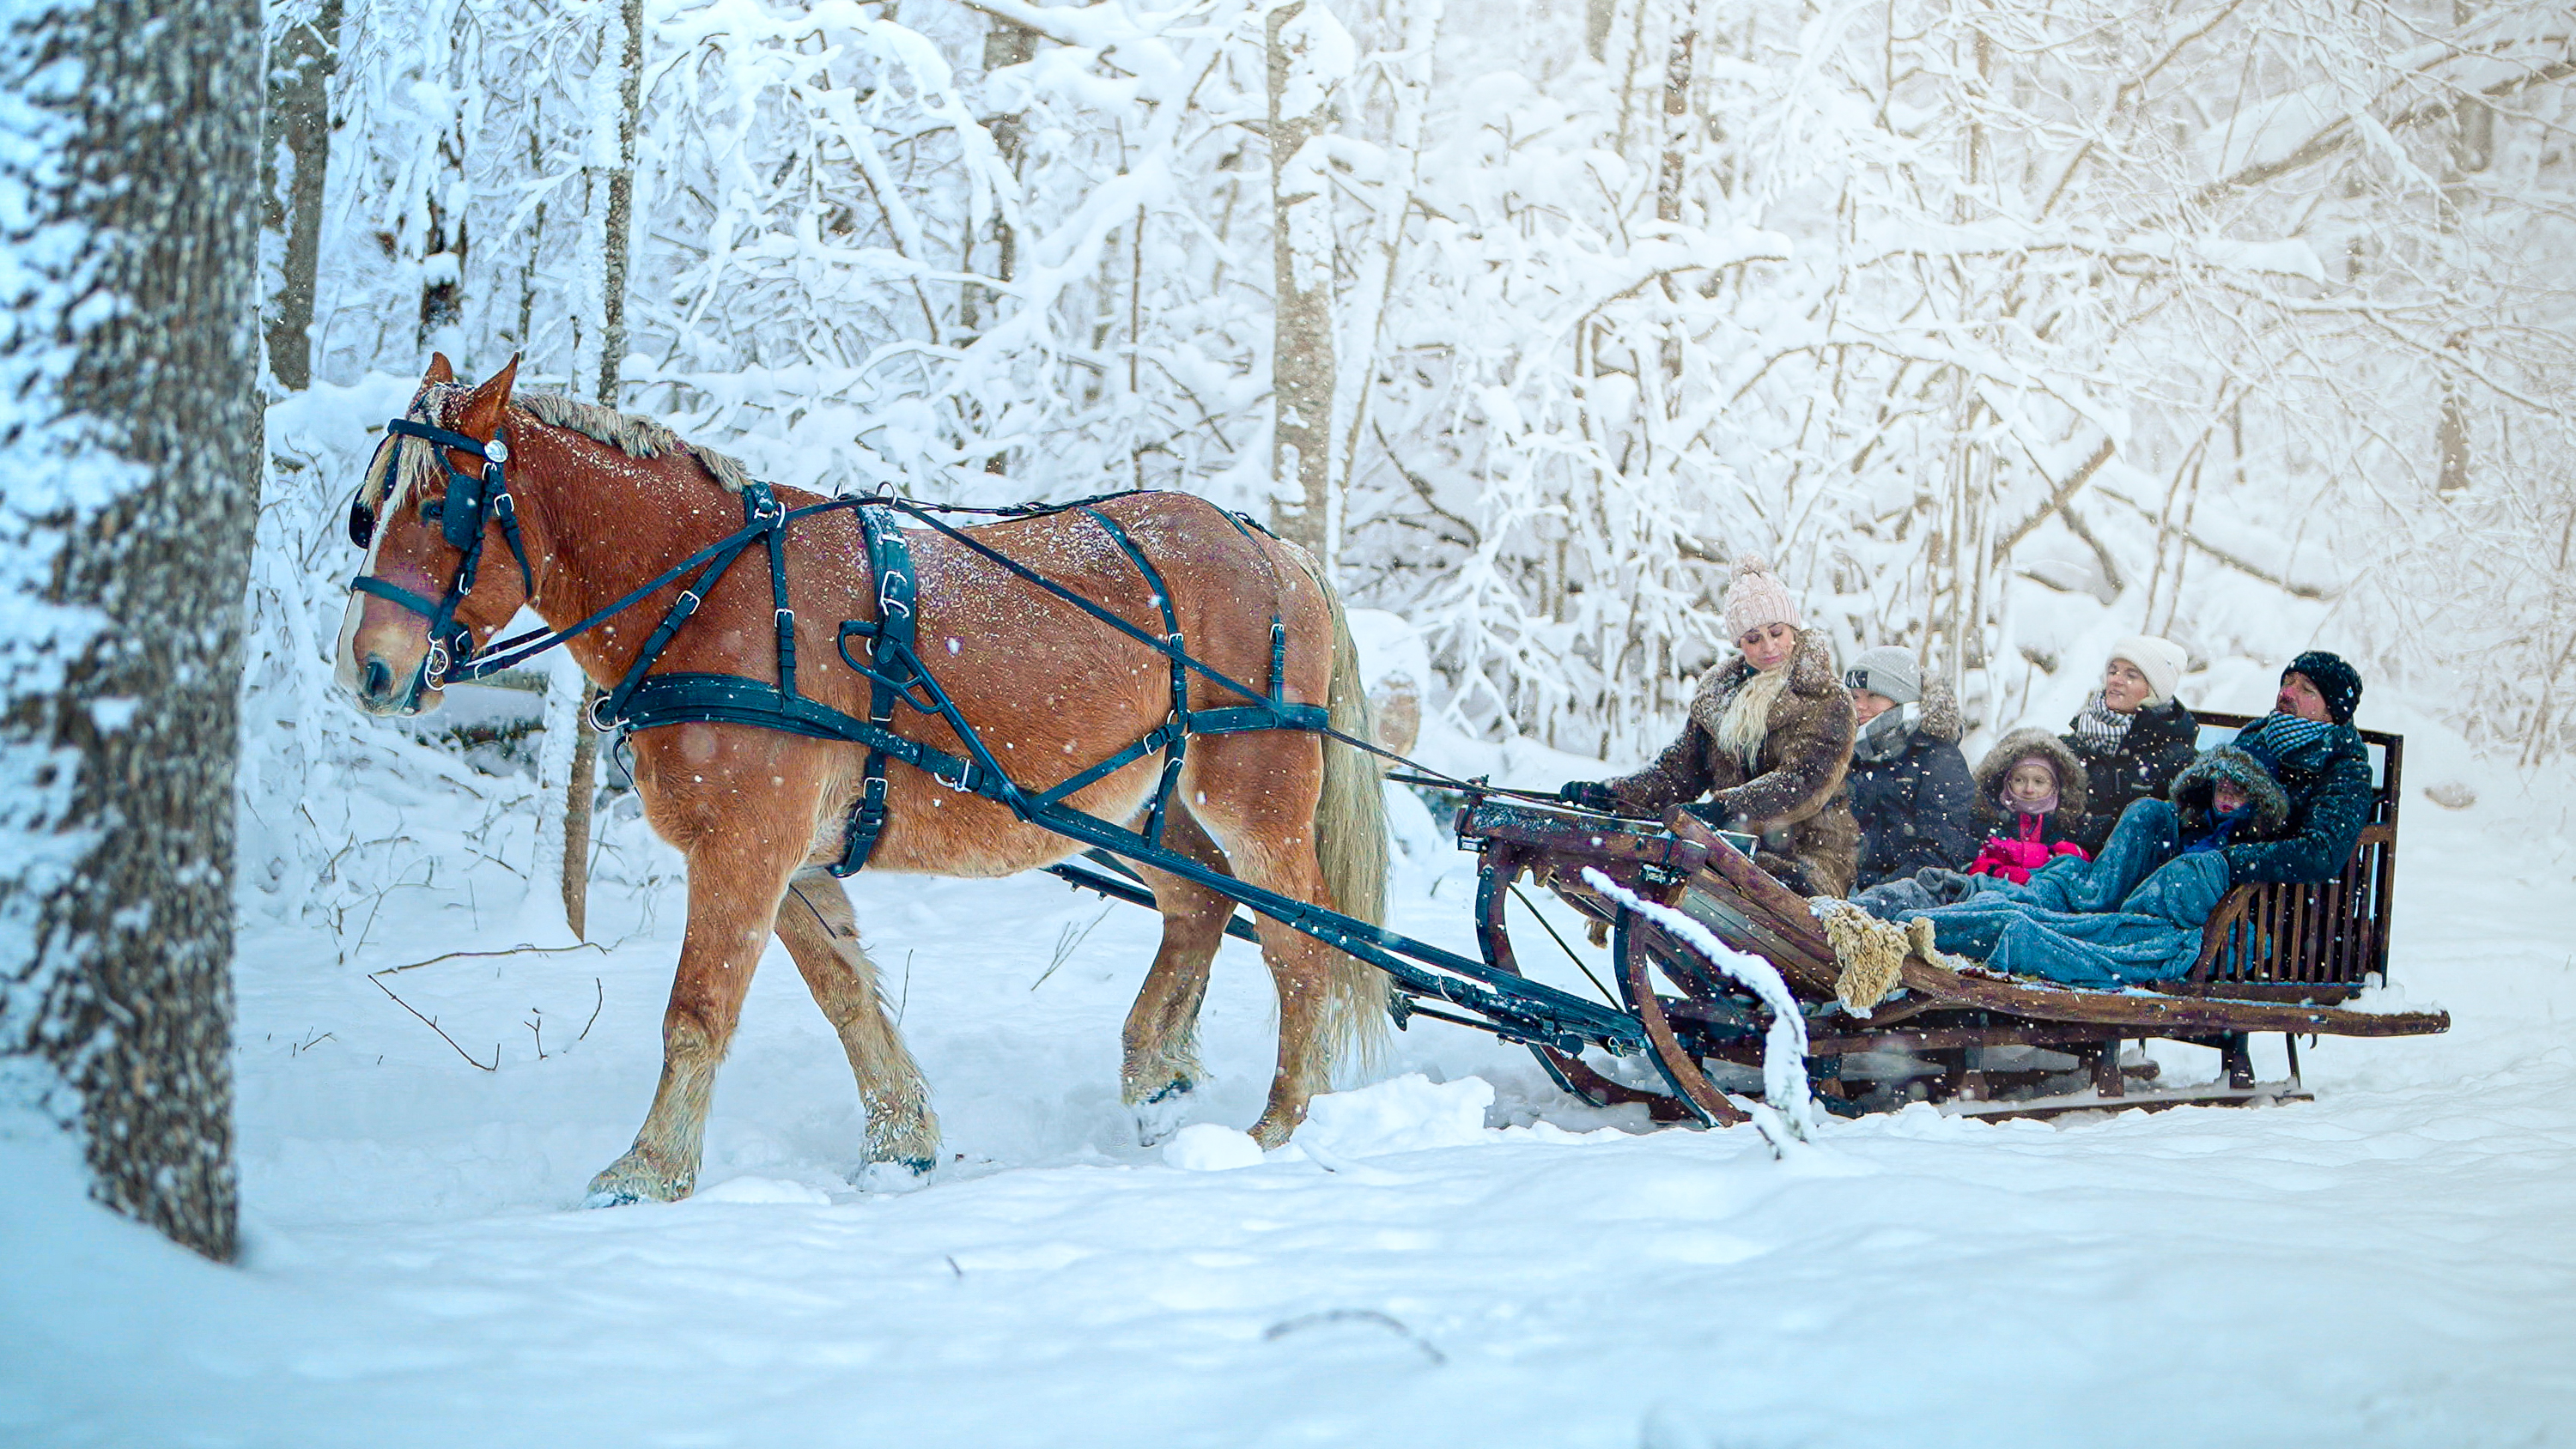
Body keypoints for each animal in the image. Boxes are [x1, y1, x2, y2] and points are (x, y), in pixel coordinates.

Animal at [337, 357, 1391, 1210]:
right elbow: (846, 997)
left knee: (1303, 943)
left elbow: (696, 1015)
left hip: (1254, 796)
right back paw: (1156, 1074)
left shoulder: (744, 847)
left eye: (440, 508)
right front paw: (899, 1144)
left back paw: (1279, 1126)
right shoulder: (793, 860)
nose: (367, 670)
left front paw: (647, 1173)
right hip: (1147, 805)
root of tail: (1277, 550)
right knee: (1202, 907)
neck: (705, 589)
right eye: (366, 512)